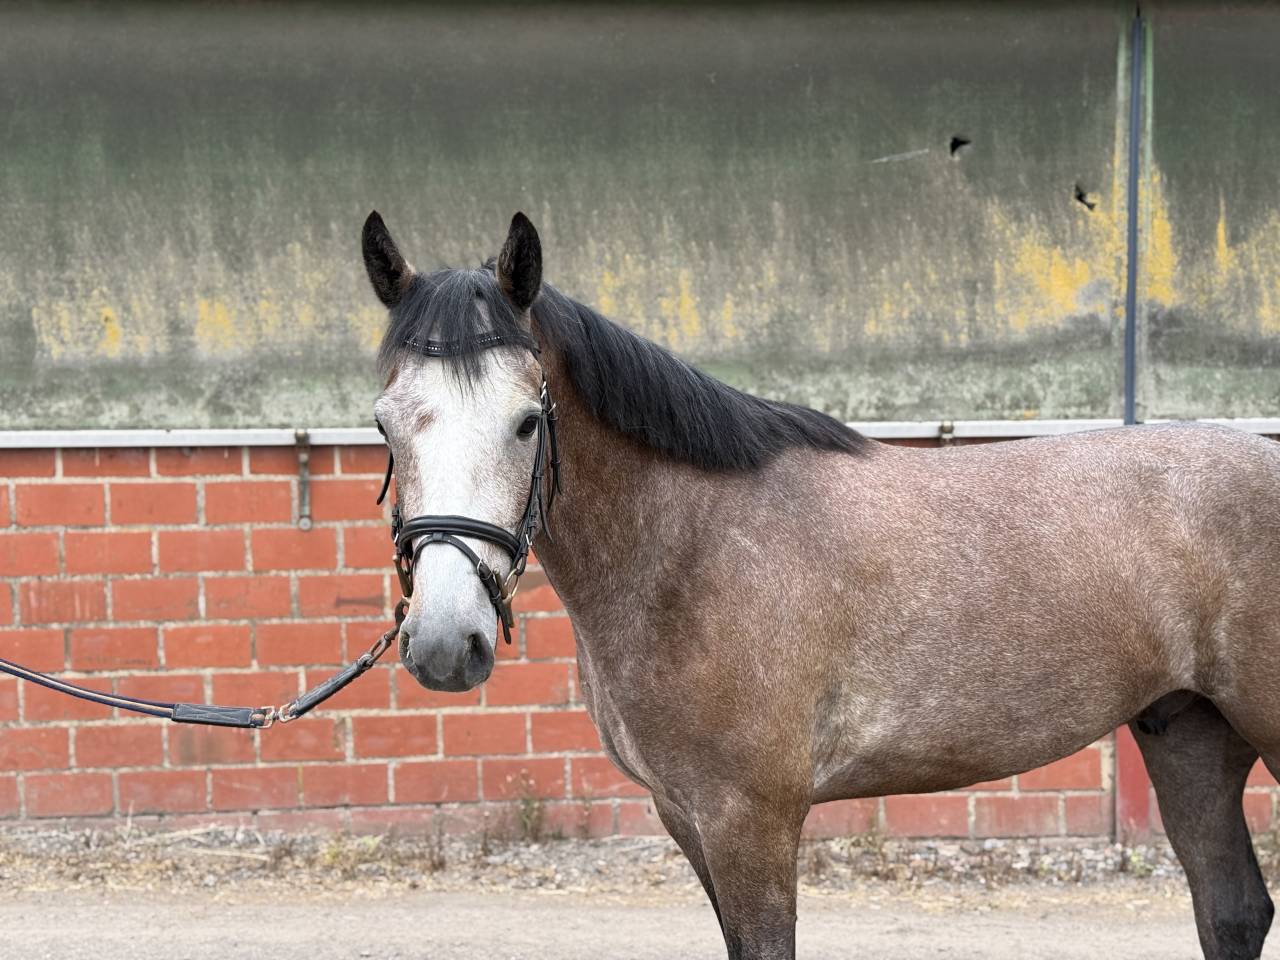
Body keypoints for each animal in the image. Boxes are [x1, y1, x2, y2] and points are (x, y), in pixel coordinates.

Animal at [361, 209, 1280, 960]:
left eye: (526, 421)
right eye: (384, 424)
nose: (444, 642)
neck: (692, 547)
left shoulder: (752, 821)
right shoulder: (687, 817)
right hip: (1188, 734)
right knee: (1232, 911)